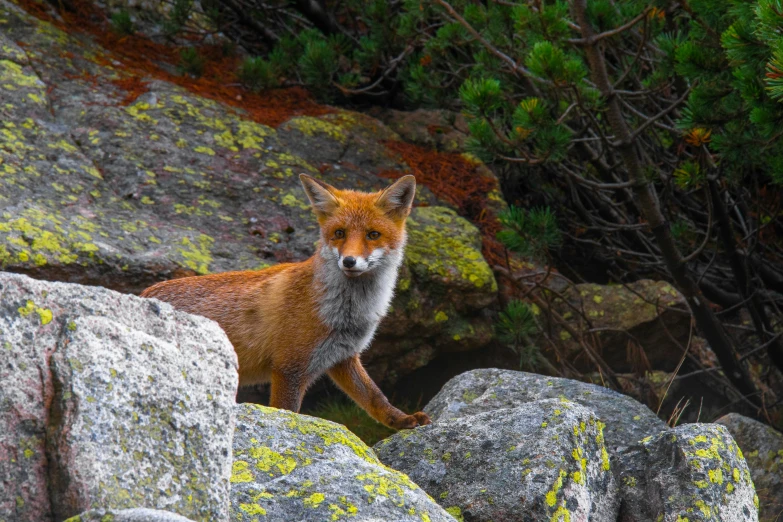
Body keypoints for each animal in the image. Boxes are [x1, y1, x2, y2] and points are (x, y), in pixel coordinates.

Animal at [144, 174, 432, 426]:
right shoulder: (289, 368)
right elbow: (288, 412)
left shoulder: (343, 357)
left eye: (373, 235)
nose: (349, 261)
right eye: (339, 233)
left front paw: (402, 420)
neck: (346, 314)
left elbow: (375, 397)